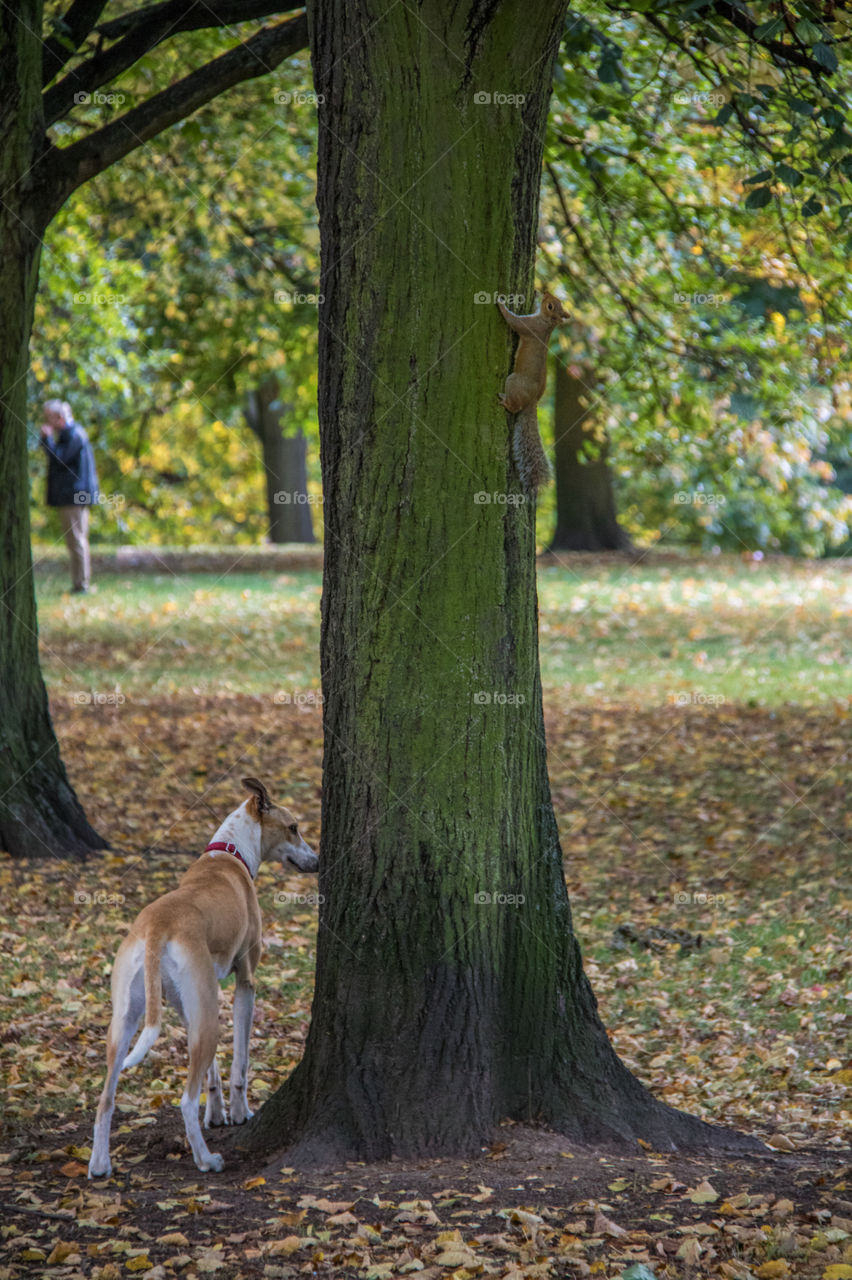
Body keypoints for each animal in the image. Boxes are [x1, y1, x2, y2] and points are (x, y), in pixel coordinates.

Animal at [497, 290, 567, 493]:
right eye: (556, 301)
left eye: (551, 305)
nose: (545, 292)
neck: (547, 323)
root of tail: (532, 402)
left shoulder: (529, 326)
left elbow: (513, 320)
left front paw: (501, 303)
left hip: (513, 381)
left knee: (514, 406)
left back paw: (505, 402)